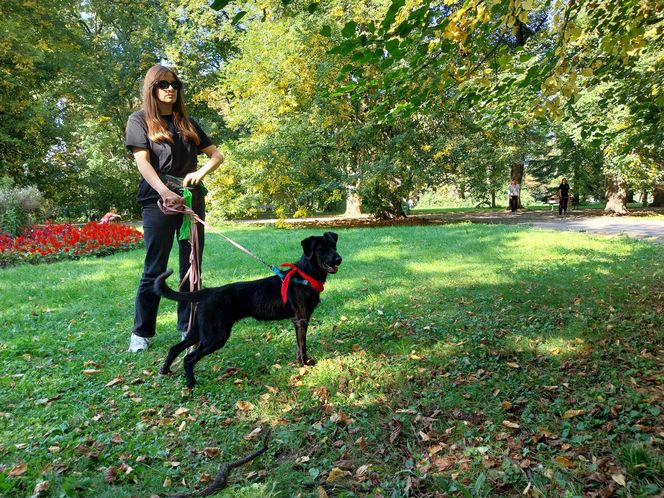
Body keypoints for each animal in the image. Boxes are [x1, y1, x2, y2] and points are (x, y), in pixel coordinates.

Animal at [154, 231, 342, 388]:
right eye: (321, 249)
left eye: (334, 246)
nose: (339, 259)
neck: (305, 275)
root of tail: (209, 291)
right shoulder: (301, 320)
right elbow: (302, 345)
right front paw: (305, 363)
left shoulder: (297, 321)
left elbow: (298, 345)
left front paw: (300, 363)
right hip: (215, 336)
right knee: (188, 358)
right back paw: (191, 383)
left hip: (200, 331)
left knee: (174, 348)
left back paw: (165, 371)